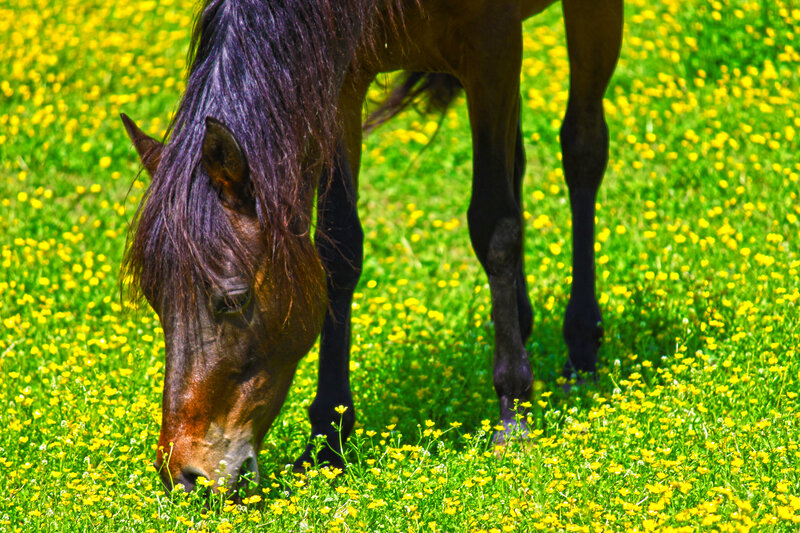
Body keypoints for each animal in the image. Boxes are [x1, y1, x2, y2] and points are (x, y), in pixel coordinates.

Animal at [121, 0, 623, 493]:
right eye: (157, 304)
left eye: (233, 300)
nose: (185, 476)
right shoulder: (343, 74)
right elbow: (338, 244)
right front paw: (328, 439)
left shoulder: (492, 49)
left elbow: (495, 225)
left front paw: (513, 414)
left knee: (582, 149)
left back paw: (581, 351)